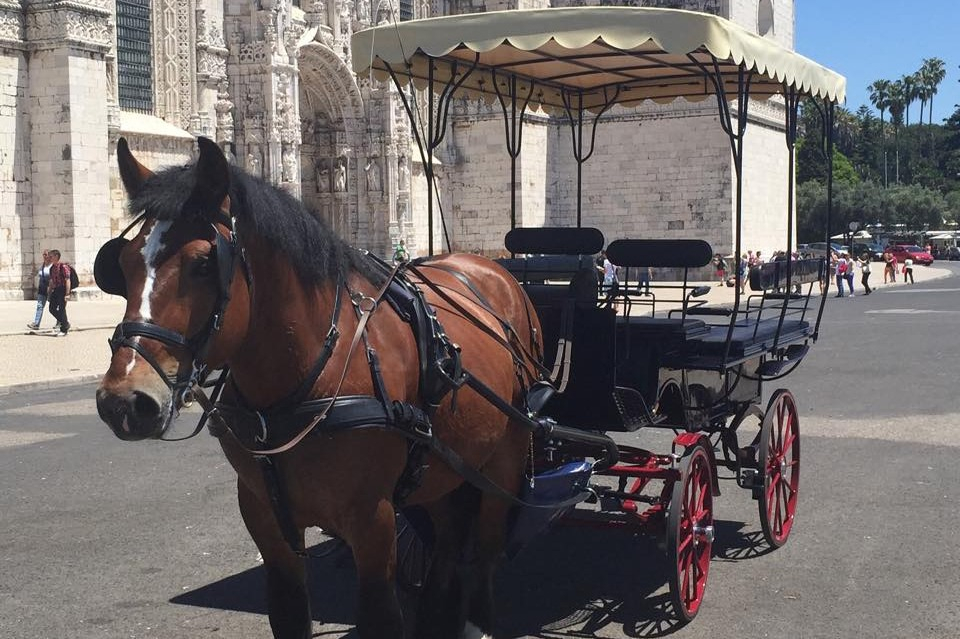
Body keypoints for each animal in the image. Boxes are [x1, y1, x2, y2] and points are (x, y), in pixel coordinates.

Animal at [95, 137, 545, 639]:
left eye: (204, 263)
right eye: (121, 263)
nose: (124, 402)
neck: (302, 384)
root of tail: (490, 270)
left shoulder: (372, 521)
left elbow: (381, 614)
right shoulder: (266, 520)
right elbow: (290, 610)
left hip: (505, 458)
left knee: (485, 550)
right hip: (446, 465)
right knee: (447, 545)